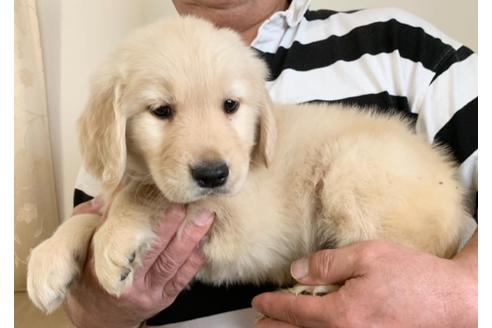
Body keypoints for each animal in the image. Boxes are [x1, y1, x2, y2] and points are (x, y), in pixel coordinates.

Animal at [26, 16, 468, 314]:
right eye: (161, 111)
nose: (213, 174)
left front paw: (112, 241)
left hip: (352, 170)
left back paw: (319, 289)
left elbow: (141, 194)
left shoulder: (234, 213)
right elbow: (89, 213)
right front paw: (49, 260)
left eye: (230, 105)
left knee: (393, 253)